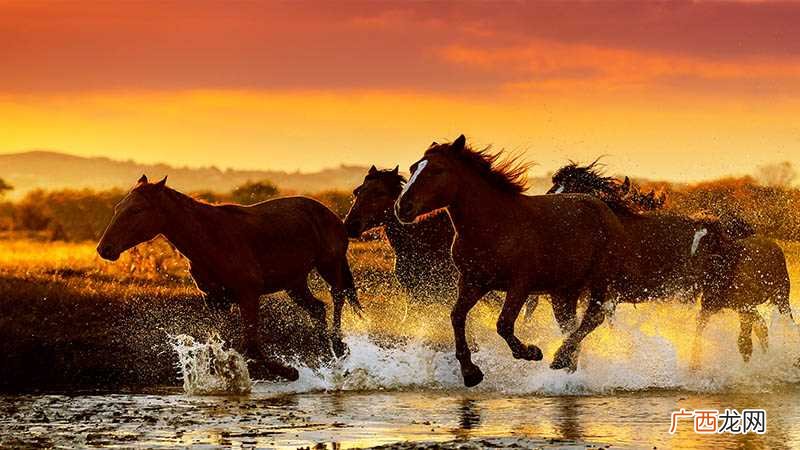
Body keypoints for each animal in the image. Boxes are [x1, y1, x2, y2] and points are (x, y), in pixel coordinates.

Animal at [96, 175, 361, 380]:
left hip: (328, 265)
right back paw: (329, 356)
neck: (210, 239)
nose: (104, 249)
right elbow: (219, 348)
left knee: (338, 297)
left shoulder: (248, 294)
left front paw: (290, 372)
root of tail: (332, 215)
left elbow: (251, 347)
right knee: (318, 308)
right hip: (294, 283)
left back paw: (339, 348)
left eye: (136, 210)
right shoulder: (216, 300)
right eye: (118, 208)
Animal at [394, 135, 635, 386]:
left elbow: (504, 324)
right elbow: (457, 316)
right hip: (564, 291)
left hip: (599, 280)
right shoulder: (472, 282)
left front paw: (531, 352)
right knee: (570, 325)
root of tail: (606, 209)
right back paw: (567, 367)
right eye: (413, 168)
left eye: (437, 170)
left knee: (593, 318)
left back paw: (559, 358)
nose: (402, 207)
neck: (495, 225)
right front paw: (471, 373)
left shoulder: (520, 285)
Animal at [547, 161, 794, 365]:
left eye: (571, 192)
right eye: (554, 189)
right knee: (755, 323)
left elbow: (587, 325)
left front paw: (562, 360)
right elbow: (574, 327)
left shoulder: (606, 294)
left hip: (725, 297)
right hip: (724, 299)